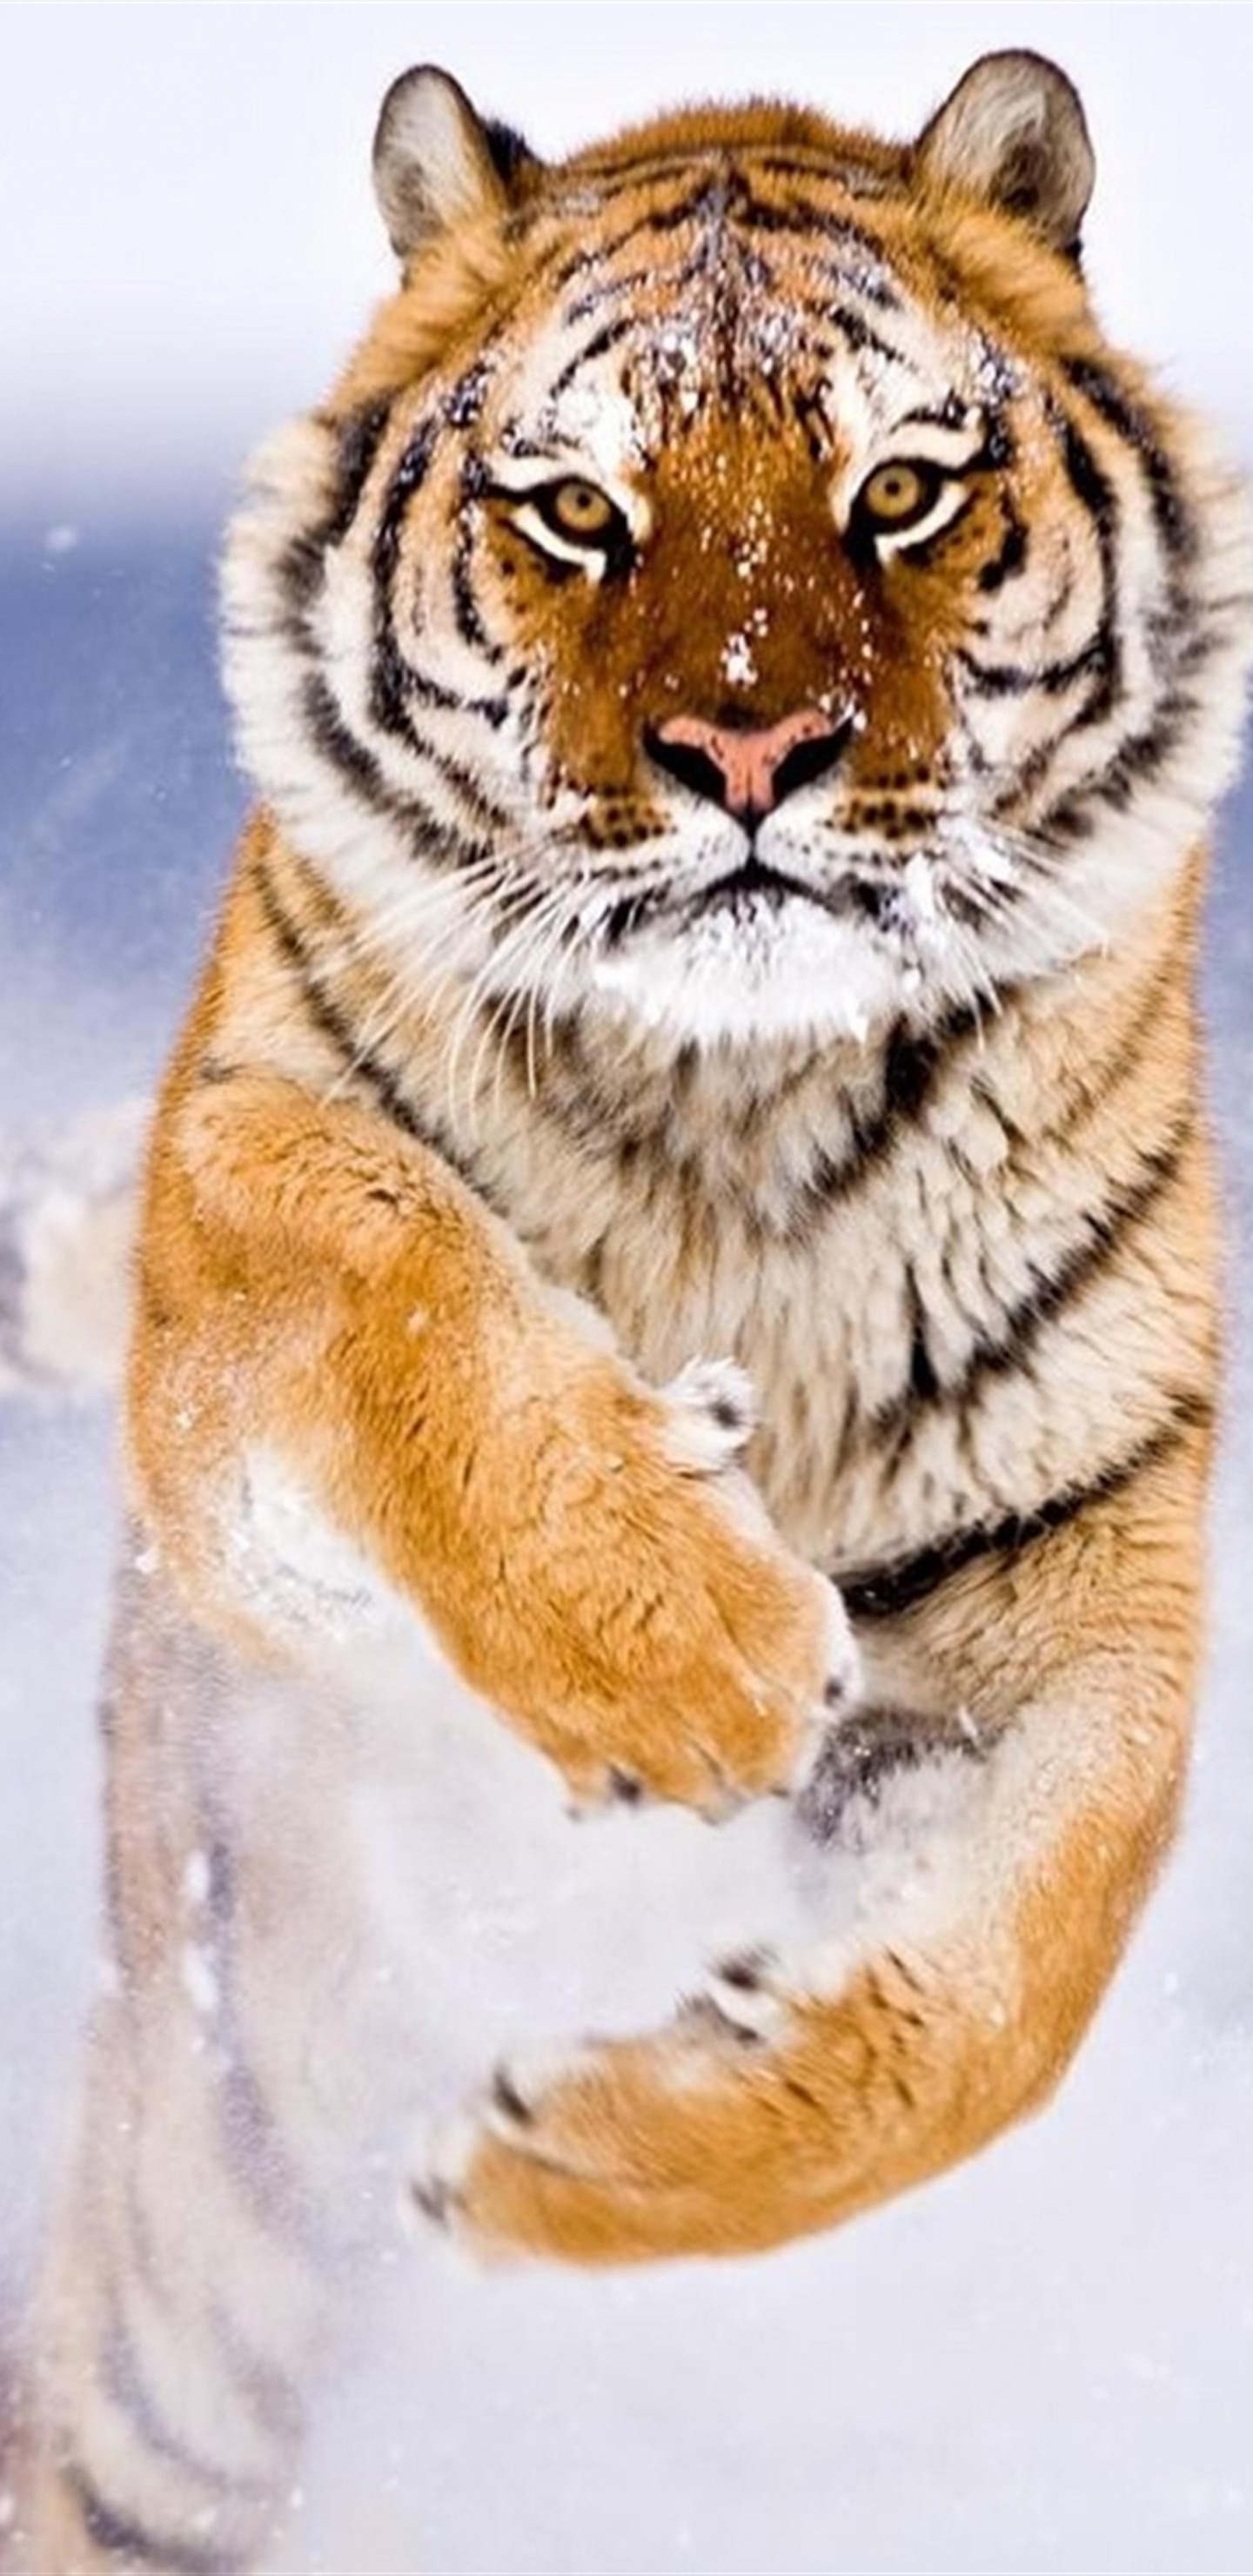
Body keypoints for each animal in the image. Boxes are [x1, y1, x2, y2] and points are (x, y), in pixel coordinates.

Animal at [18, 44, 1252, 2576]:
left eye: (901, 489)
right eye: (576, 511)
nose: (752, 751)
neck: (736, 1109)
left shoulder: (1082, 1563)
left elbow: (1012, 1989)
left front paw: (577, 2154)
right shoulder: (233, 1269)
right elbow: (390, 1252)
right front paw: (688, 1651)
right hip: (185, 2308)